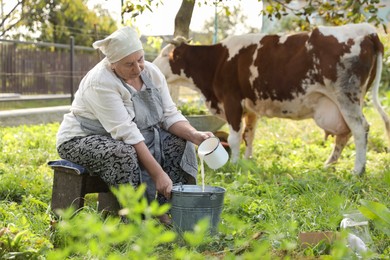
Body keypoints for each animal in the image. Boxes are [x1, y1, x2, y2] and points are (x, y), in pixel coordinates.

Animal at [154, 23, 390, 176]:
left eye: (166, 55)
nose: (153, 66)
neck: (217, 62)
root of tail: (367, 30)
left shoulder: (231, 101)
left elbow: (234, 138)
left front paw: (234, 162)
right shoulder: (251, 108)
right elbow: (249, 136)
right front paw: (247, 161)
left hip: (346, 96)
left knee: (360, 129)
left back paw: (357, 170)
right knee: (345, 133)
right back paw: (328, 165)